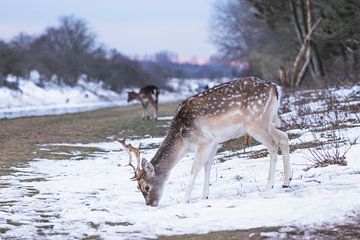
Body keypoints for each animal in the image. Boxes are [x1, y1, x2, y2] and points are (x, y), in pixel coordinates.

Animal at [119, 76, 292, 206]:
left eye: (146, 187)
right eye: (138, 188)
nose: (151, 204)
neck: (183, 141)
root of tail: (275, 88)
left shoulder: (204, 140)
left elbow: (195, 168)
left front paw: (185, 200)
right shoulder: (214, 141)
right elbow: (208, 166)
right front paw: (204, 196)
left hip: (255, 123)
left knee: (273, 145)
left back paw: (269, 185)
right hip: (268, 122)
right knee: (284, 137)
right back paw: (287, 181)